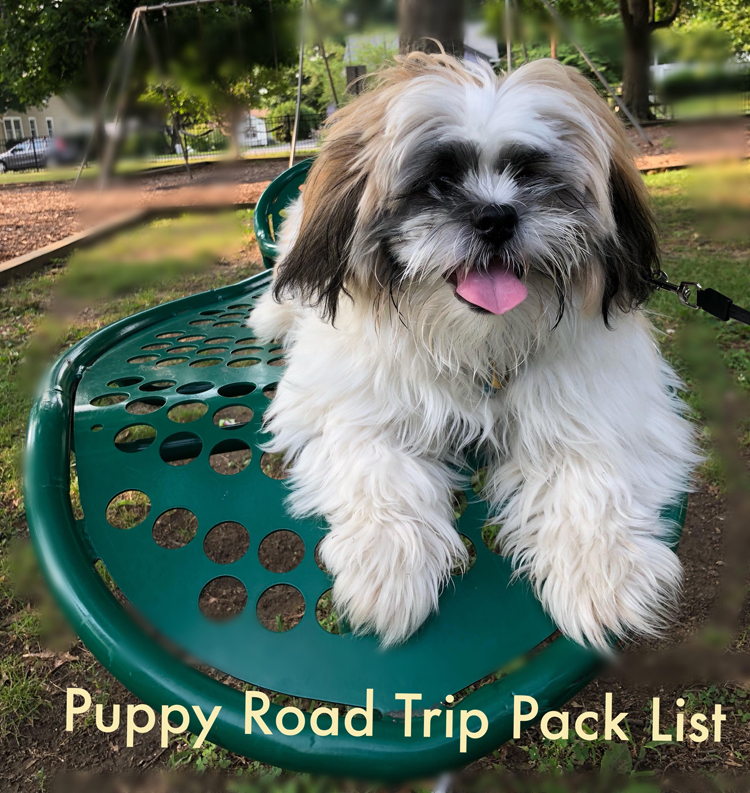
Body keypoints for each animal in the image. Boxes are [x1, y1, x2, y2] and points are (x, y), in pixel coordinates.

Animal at [251, 54, 700, 648]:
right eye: (439, 179)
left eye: (531, 175)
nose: (497, 216)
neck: (479, 345)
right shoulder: (344, 404)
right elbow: (375, 460)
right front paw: (387, 565)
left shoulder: (608, 402)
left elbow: (593, 466)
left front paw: (601, 572)